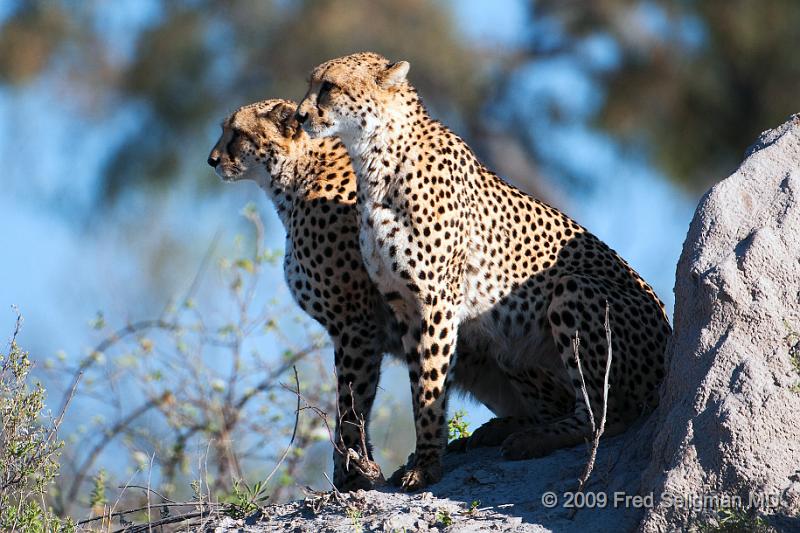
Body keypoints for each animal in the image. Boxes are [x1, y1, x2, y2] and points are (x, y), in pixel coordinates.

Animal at [205, 98, 568, 490]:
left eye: (236, 133)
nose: (212, 160)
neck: (297, 176)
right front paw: (358, 470)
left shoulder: (355, 324)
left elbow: (351, 404)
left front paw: (350, 475)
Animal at [296, 53, 672, 490]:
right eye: (311, 84)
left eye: (329, 87)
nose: (301, 115)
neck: (376, 158)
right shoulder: (402, 304)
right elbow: (413, 382)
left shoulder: (435, 301)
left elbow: (429, 388)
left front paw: (426, 465)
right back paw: (499, 431)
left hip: (572, 290)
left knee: (604, 416)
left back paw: (532, 438)